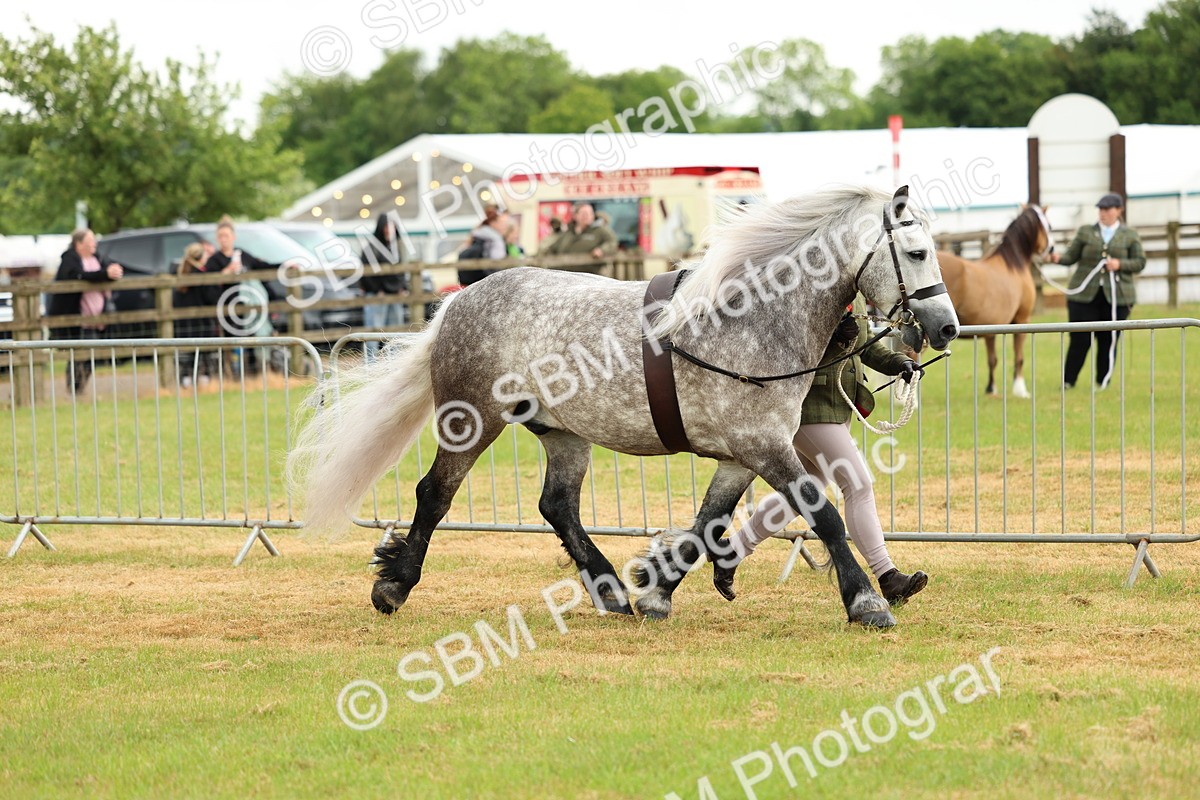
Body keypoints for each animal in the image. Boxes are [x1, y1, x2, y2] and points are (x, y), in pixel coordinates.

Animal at [288, 185, 959, 630]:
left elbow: (709, 525)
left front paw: (656, 589)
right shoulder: (763, 446)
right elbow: (824, 515)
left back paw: (609, 589)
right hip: (470, 420)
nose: (946, 328)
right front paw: (867, 602)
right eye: (917, 252)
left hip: (562, 434)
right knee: (436, 495)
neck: (752, 318)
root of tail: (459, 301)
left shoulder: (740, 456)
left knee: (557, 506)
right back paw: (394, 586)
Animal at [938, 205, 1051, 398]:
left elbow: (992, 360)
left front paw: (991, 389)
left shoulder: (990, 329)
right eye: (1048, 226)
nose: (1051, 251)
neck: (1013, 266)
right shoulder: (1021, 320)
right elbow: (1019, 357)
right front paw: (1020, 389)